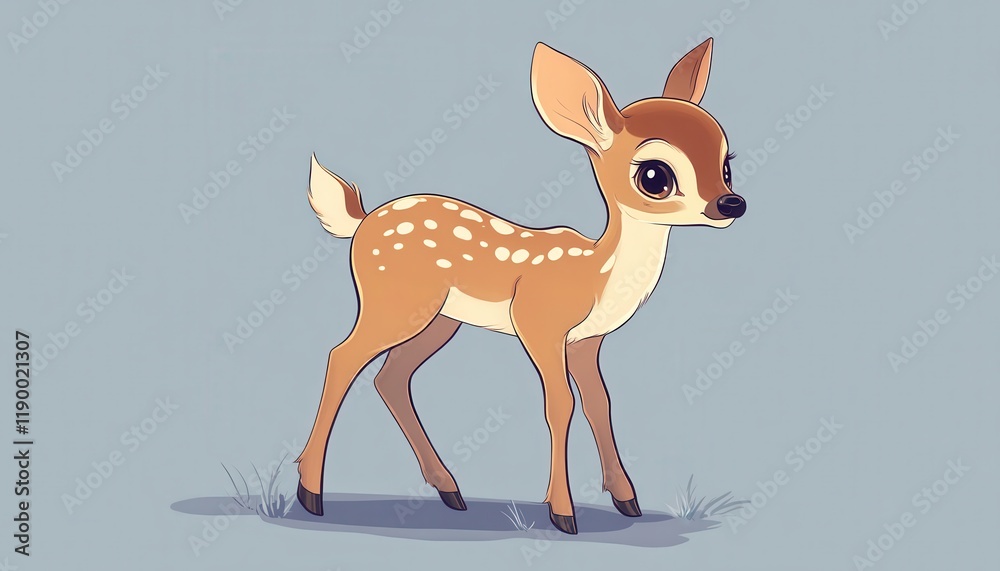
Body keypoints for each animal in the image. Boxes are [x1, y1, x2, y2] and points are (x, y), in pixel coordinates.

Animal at [295, 37, 746, 535]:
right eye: (654, 176)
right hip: (394, 300)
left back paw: (449, 490)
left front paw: (627, 499)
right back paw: (310, 494)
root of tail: (361, 223)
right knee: (342, 357)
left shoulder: (587, 341)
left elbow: (600, 403)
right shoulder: (538, 323)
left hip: (439, 319)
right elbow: (560, 405)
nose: (732, 203)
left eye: (727, 165)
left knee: (390, 377)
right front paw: (562, 513)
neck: (596, 275)